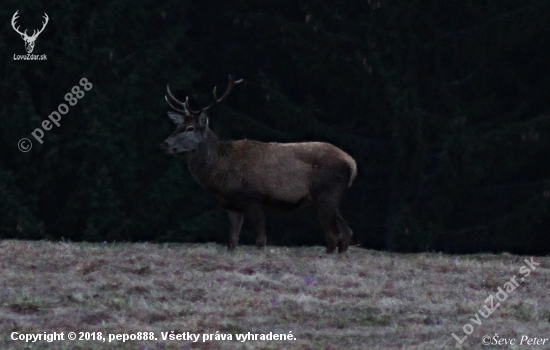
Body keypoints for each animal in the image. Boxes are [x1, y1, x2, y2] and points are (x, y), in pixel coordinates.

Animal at [161, 76, 358, 253]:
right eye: (177, 126)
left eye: (190, 128)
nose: (165, 144)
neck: (222, 173)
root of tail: (352, 164)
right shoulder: (232, 205)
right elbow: (232, 242)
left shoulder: (255, 199)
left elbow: (260, 241)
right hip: (332, 198)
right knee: (346, 232)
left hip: (326, 194)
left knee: (334, 235)